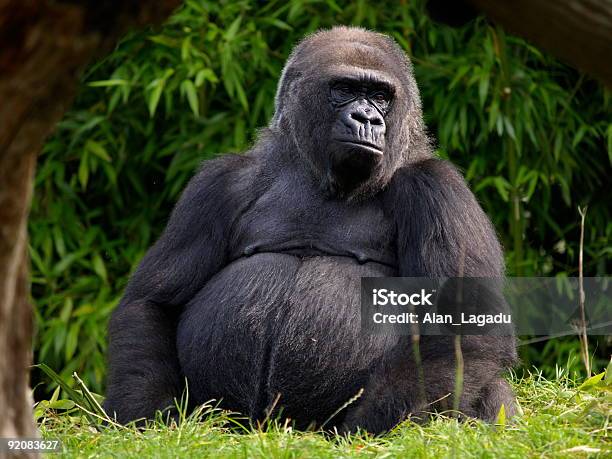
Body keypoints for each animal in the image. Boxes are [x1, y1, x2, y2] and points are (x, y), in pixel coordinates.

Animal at [106, 26, 516, 434]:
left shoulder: (438, 189)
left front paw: (368, 430)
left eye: (380, 96)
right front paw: (150, 416)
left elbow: (461, 323)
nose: (367, 118)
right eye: (345, 89)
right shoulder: (218, 185)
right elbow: (153, 303)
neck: (321, 176)